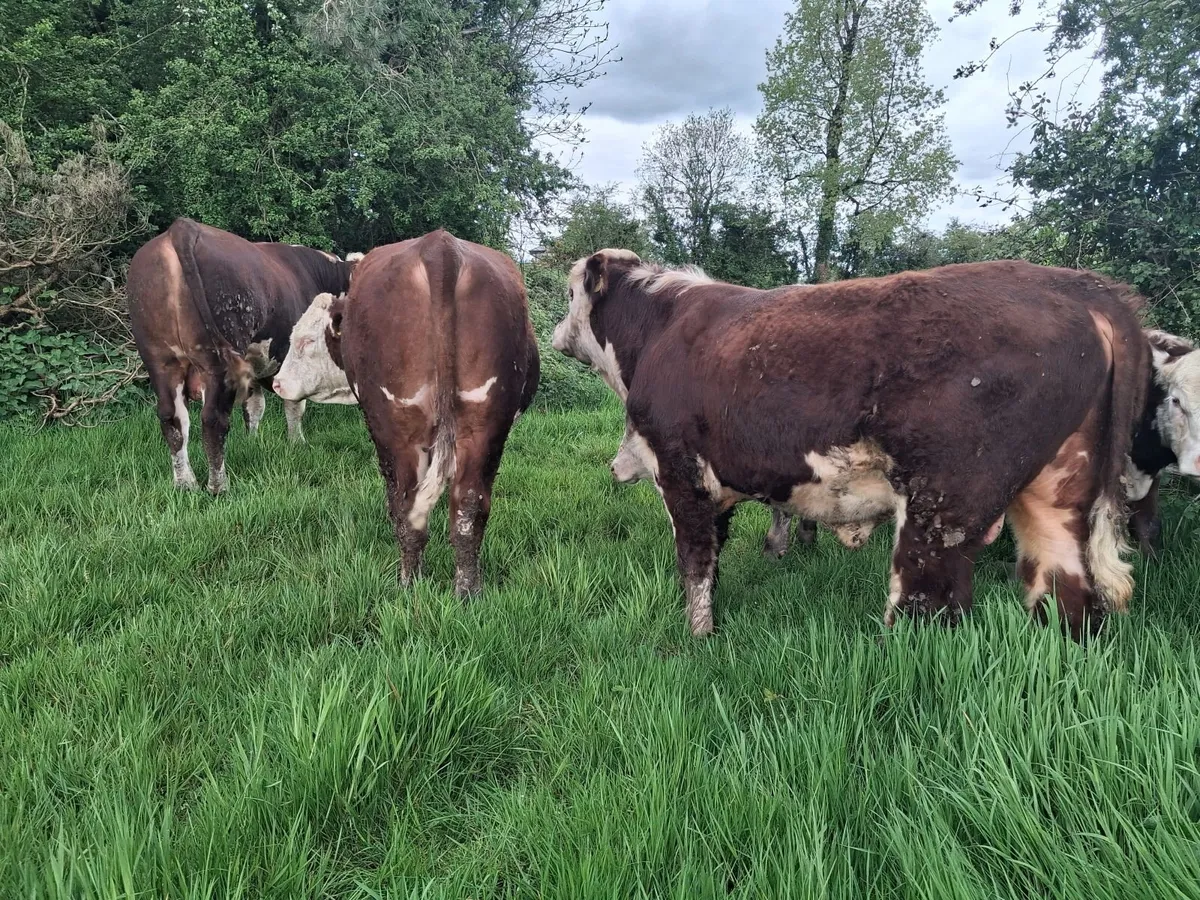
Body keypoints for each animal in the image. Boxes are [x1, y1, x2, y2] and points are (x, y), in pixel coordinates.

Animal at [127, 218, 357, 492]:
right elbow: (293, 404)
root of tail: (181, 228)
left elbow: (254, 407)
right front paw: (297, 443)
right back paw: (218, 486)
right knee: (213, 420)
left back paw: (186, 484)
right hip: (216, 362)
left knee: (172, 419)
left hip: (160, 360)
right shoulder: (289, 358)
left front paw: (252, 442)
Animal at [274, 230, 540, 596]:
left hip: (398, 429)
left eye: (305, 341)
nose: (277, 383)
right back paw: (467, 591)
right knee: (469, 506)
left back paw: (408, 584)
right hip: (485, 426)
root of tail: (439, 248)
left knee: (405, 506)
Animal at [553, 252, 1150, 641]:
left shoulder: (682, 475)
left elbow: (696, 564)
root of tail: (1074, 285)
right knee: (1068, 592)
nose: (556, 333)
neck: (659, 329)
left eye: (568, 293)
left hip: (942, 508)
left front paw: (697, 640)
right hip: (1057, 494)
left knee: (928, 609)